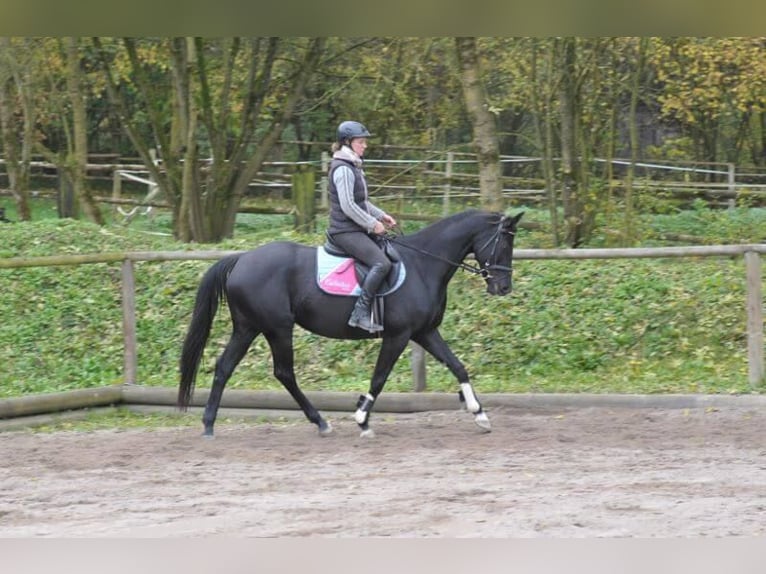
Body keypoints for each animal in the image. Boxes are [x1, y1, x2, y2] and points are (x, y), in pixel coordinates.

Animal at [178, 209, 524, 438]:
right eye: (504, 244)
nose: (504, 287)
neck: (423, 265)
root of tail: (242, 259)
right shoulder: (399, 336)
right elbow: (379, 378)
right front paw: (361, 418)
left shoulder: (425, 332)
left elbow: (458, 366)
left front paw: (479, 414)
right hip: (277, 328)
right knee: (283, 372)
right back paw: (320, 422)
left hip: (249, 327)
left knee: (225, 366)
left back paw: (209, 424)